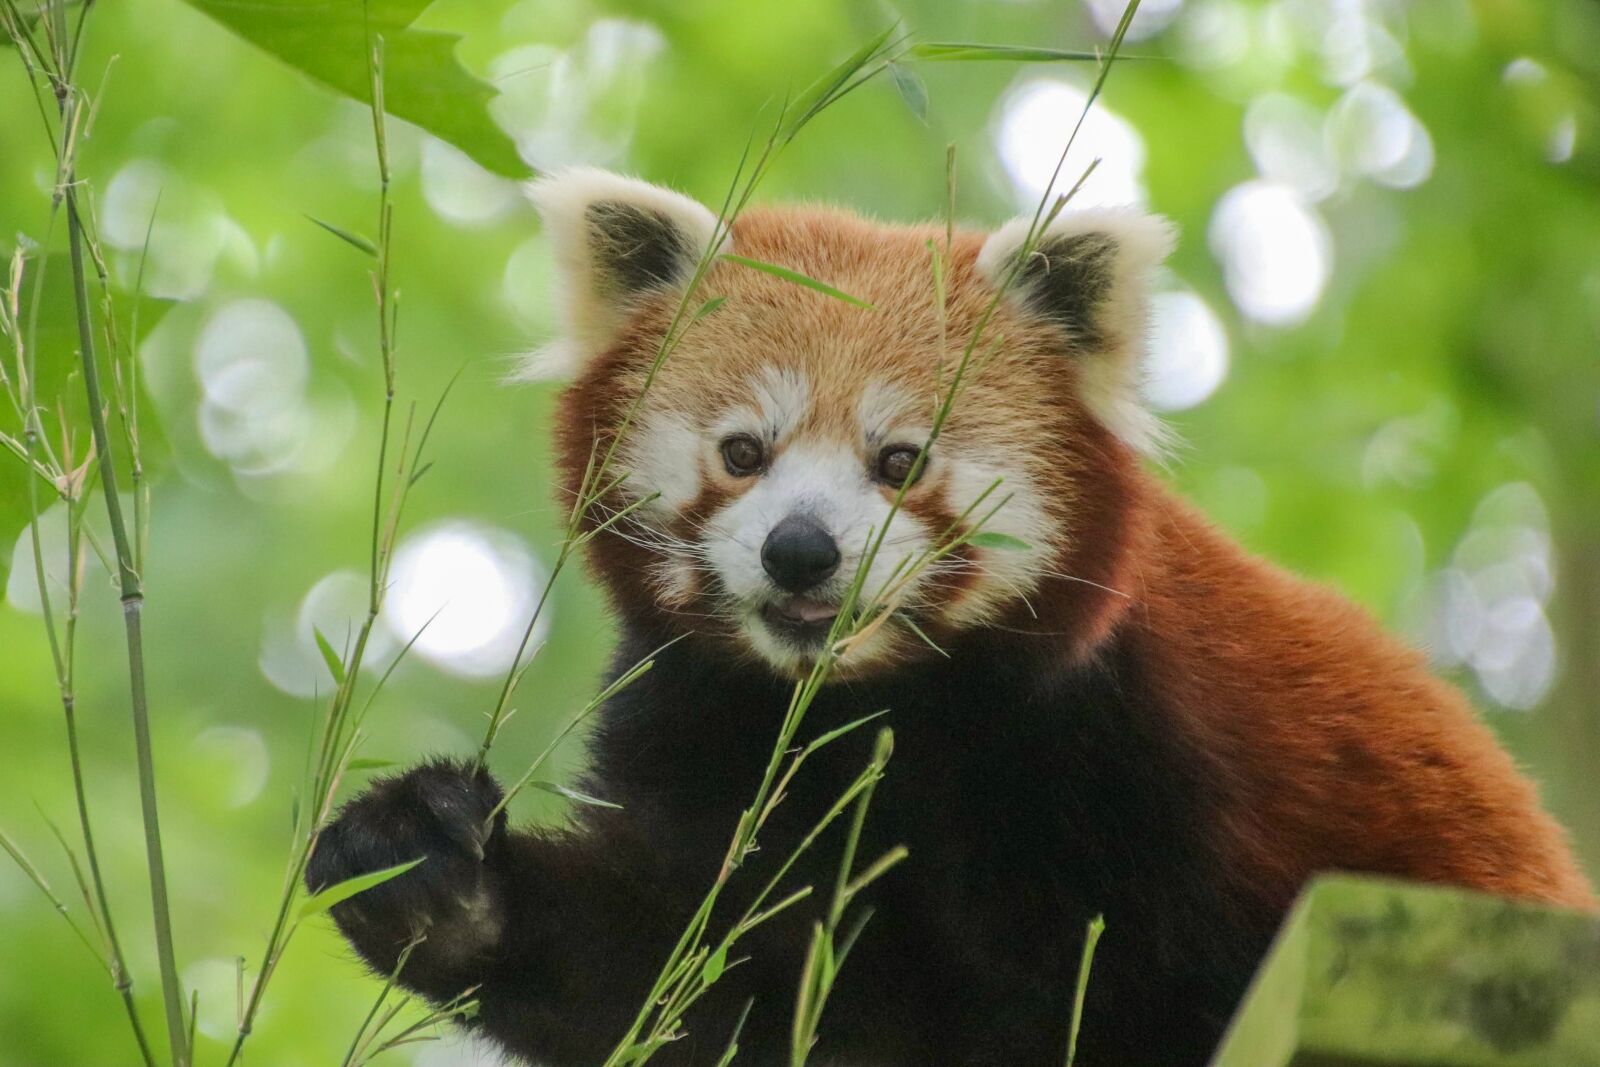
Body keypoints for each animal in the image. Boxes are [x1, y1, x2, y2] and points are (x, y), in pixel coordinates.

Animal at [305, 171, 1593, 1062]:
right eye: (742, 451)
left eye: (898, 460)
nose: (801, 548)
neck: (881, 709)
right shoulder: (709, 732)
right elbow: (697, 975)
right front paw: (432, 874)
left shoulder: (1132, 756)